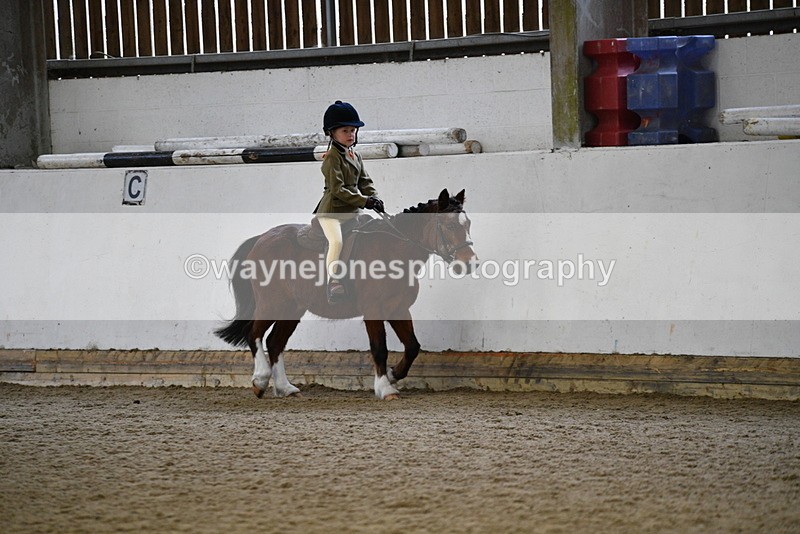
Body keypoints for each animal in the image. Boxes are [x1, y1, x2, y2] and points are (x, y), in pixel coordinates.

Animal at [214, 188, 477, 400]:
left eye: (468, 225)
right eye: (450, 225)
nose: (470, 263)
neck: (393, 250)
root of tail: (262, 238)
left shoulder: (398, 308)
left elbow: (412, 346)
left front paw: (393, 374)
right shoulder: (373, 310)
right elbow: (379, 348)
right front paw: (385, 388)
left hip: (292, 308)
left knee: (275, 341)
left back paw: (285, 388)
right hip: (272, 303)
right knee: (255, 334)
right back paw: (260, 380)